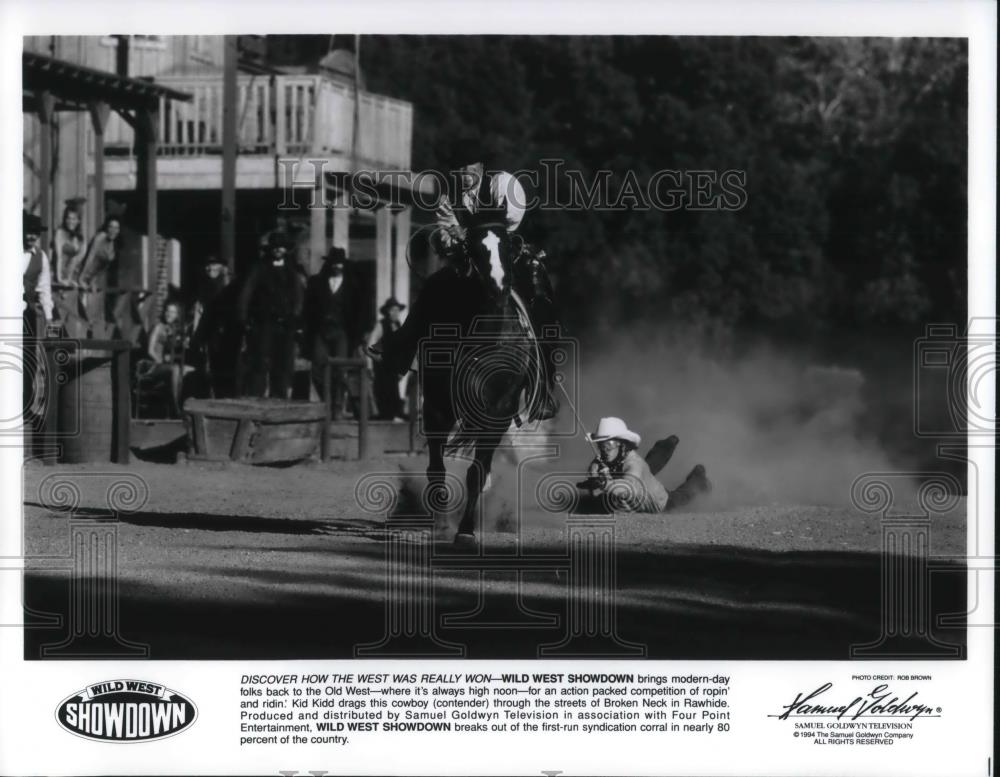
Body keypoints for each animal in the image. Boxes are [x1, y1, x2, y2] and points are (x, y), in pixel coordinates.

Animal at [422, 221, 548, 544]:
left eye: (505, 247)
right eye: (476, 248)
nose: (498, 285)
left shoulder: (499, 410)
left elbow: (477, 472)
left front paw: (465, 531)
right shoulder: (437, 406)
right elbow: (437, 467)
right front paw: (441, 525)